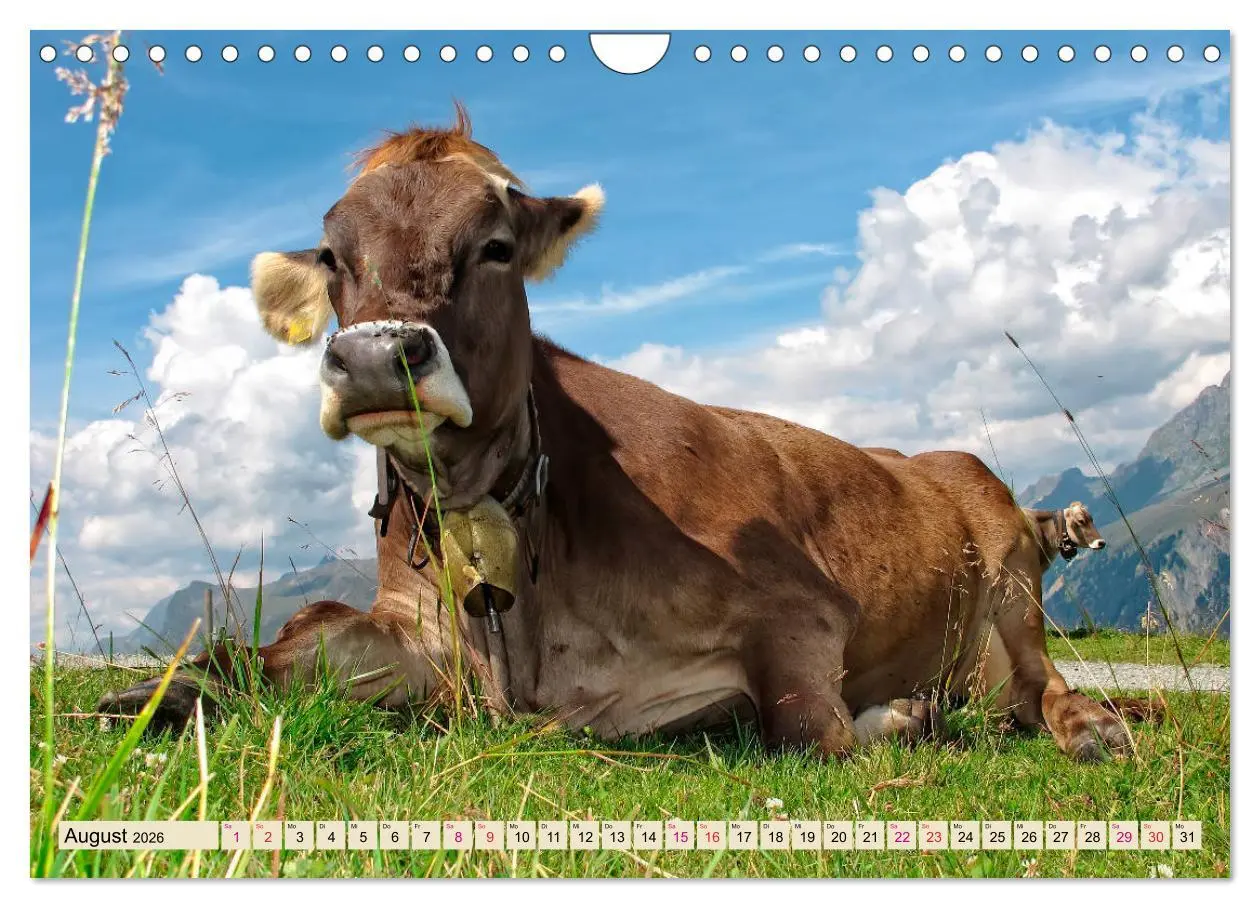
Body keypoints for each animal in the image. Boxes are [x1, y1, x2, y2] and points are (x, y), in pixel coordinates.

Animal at [99, 107, 1134, 762]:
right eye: (331, 255)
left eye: (496, 246)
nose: (376, 357)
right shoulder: (414, 633)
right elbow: (286, 646)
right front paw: (156, 695)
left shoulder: (803, 608)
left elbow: (807, 728)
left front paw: (888, 721)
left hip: (1009, 586)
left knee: (1038, 688)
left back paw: (1082, 726)